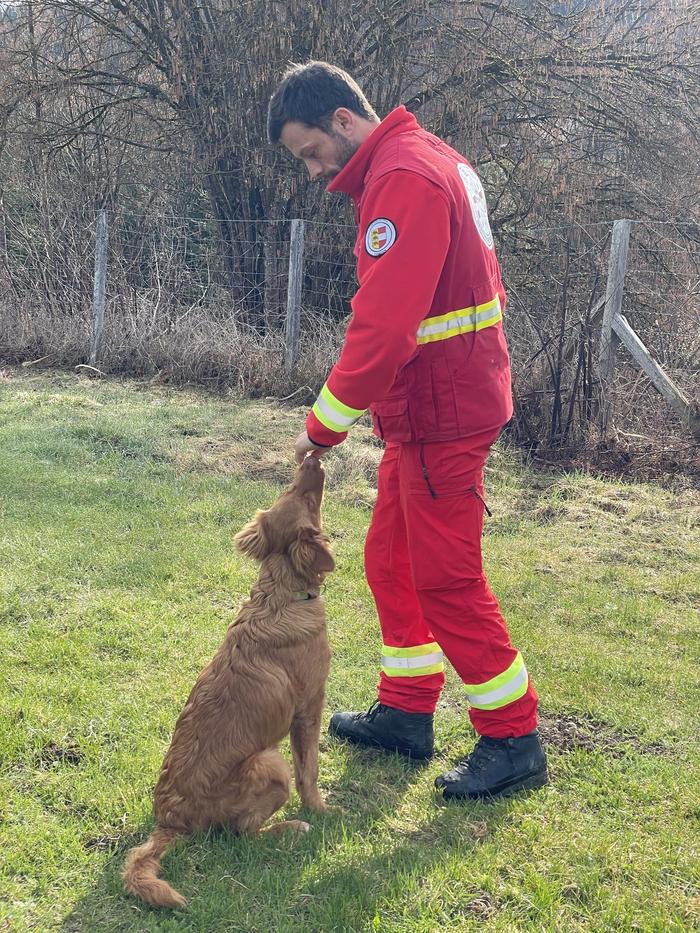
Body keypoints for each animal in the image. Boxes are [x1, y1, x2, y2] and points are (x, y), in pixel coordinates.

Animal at [122, 456, 334, 908]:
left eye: (290, 487)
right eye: (307, 499)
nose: (311, 458)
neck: (280, 594)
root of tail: (169, 818)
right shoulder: (309, 709)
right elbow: (309, 771)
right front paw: (323, 813)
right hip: (269, 762)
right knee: (243, 833)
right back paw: (291, 829)